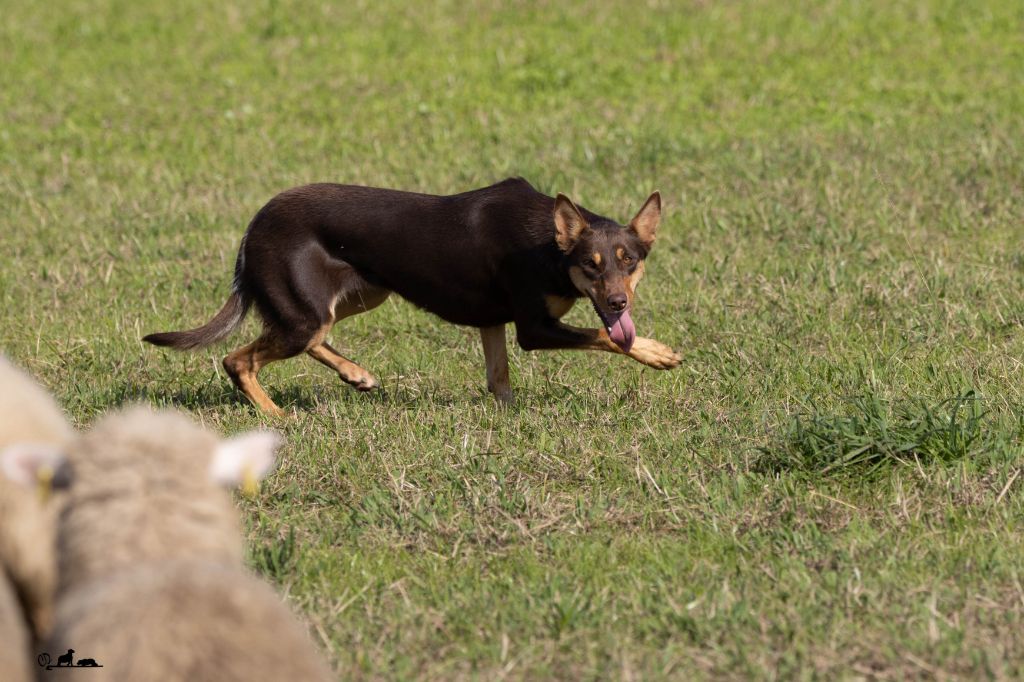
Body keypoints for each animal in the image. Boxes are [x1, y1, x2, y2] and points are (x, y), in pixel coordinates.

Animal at [142, 175, 671, 411]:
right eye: (591, 265)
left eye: (629, 261)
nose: (619, 303)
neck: (549, 247)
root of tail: (253, 227)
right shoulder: (534, 329)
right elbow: (604, 338)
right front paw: (656, 353)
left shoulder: (493, 323)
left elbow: (499, 379)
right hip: (306, 314)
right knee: (238, 360)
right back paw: (275, 417)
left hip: (357, 297)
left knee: (310, 340)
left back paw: (355, 374)